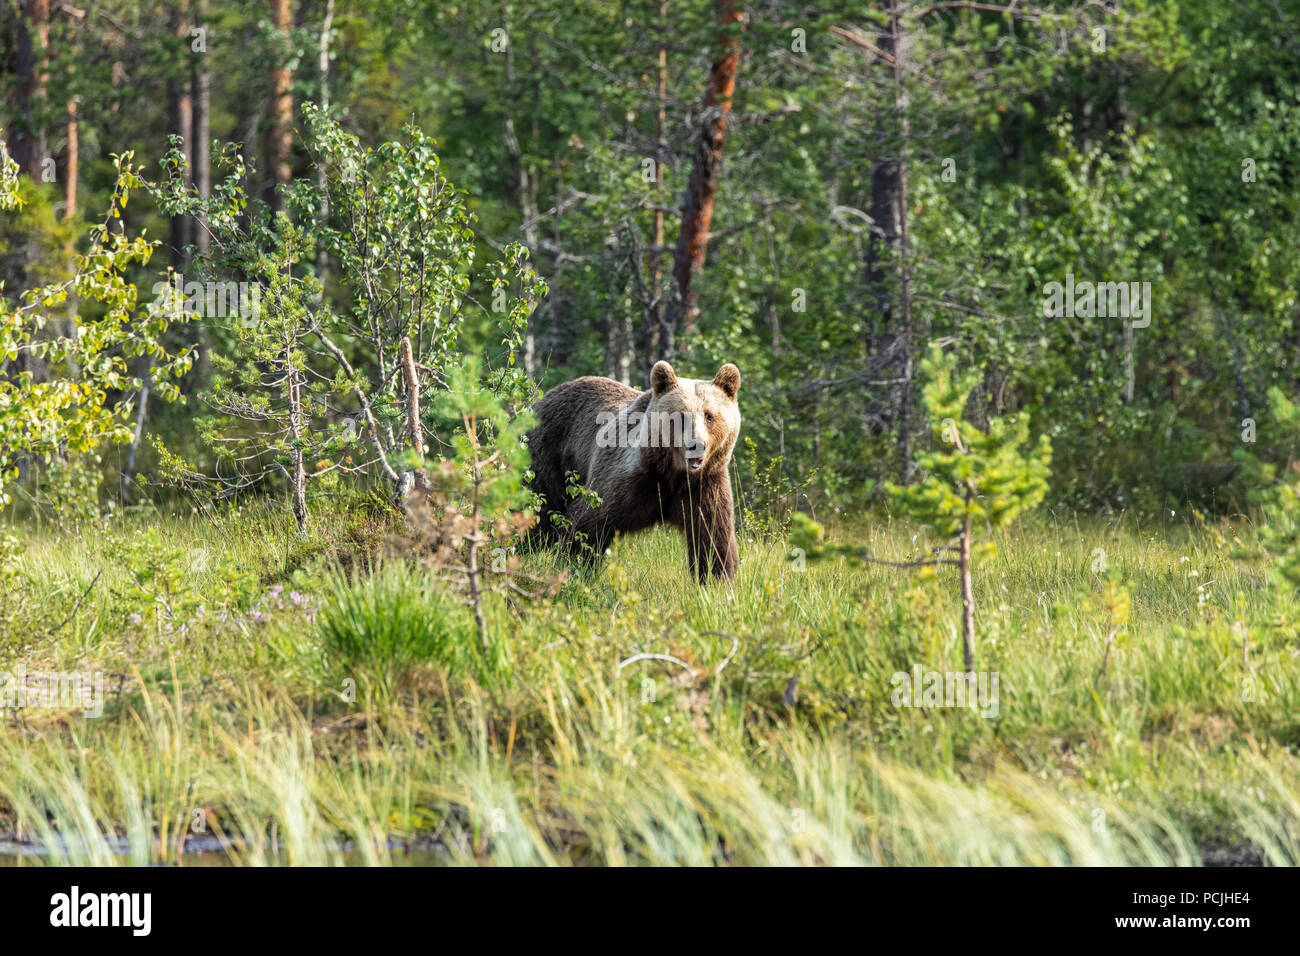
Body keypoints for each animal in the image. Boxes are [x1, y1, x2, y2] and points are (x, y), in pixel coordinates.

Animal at [525, 361, 741, 582]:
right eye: (681, 416)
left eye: (709, 416)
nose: (696, 445)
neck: (673, 474)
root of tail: (543, 398)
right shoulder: (628, 481)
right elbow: (587, 524)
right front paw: (574, 572)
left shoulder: (704, 486)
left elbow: (713, 537)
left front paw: (717, 579)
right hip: (548, 454)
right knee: (539, 509)